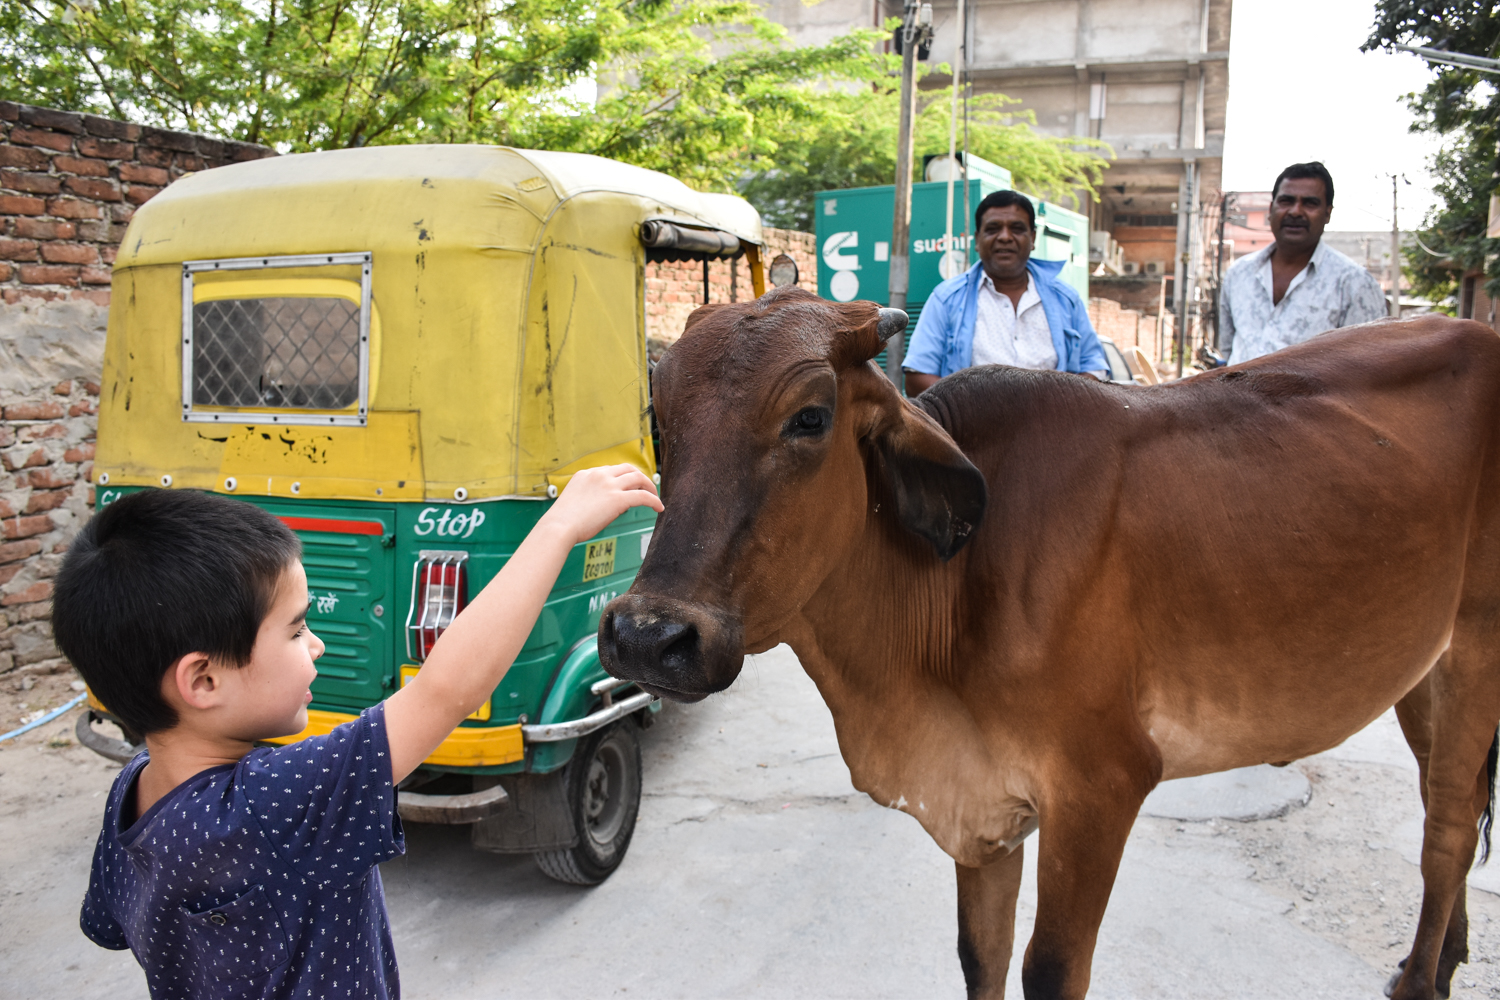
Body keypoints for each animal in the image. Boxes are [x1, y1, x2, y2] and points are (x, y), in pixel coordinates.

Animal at [597, 284, 1500, 995]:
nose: (648, 636)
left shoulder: (1103, 788)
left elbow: (1050, 969)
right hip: (1422, 672)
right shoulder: (981, 806)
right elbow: (981, 956)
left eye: (810, 418)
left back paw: (1424, 979)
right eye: (660, 417)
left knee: (1449, 832)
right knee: (1441, 810)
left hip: (1477, 653)